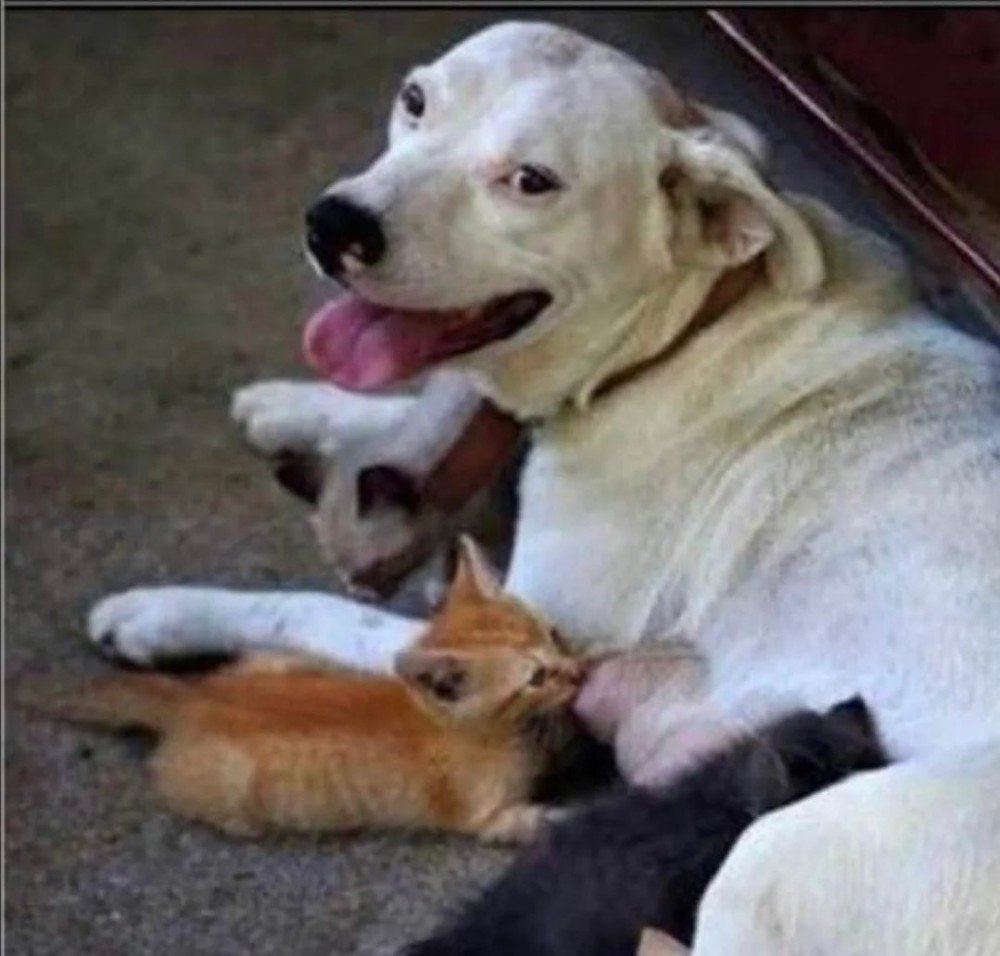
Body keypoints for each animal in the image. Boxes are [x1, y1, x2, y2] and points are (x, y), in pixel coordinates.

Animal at [22, 536, 596, 844]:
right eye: (538, 673)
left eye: (555, 635)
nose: (577, 670)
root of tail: (191, 706)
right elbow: (309, 605)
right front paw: (153, 613)